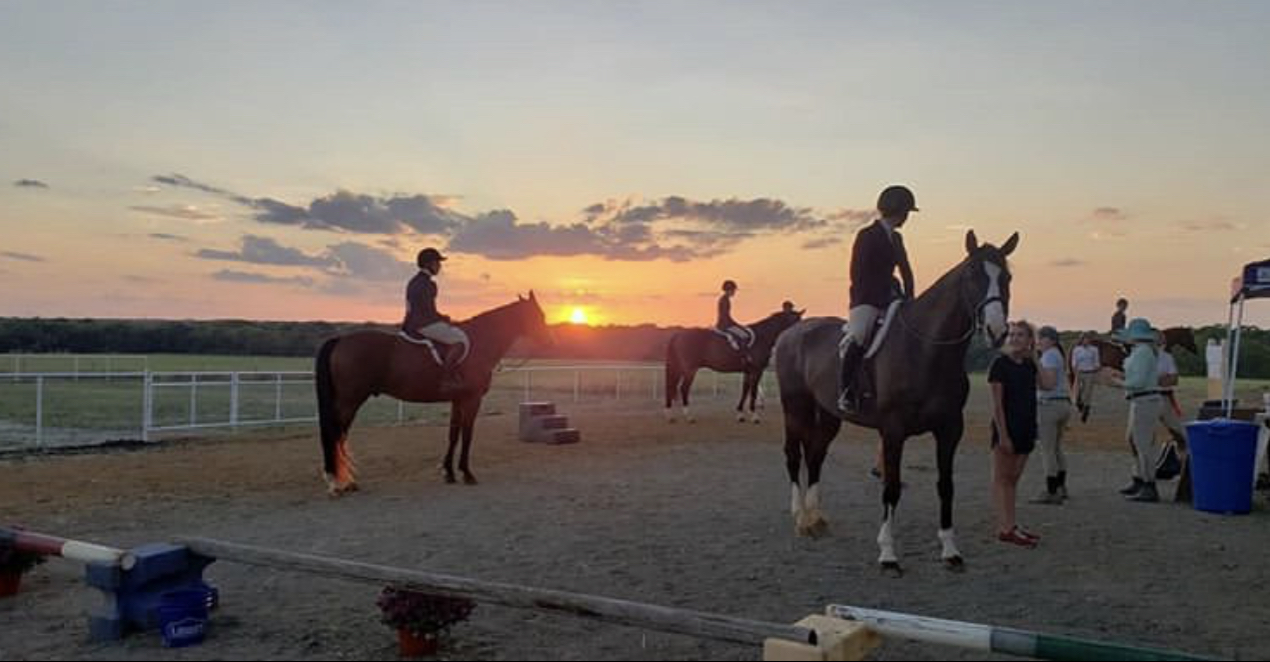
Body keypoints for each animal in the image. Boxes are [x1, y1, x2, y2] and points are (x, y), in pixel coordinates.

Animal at [313, 292, 551, 493]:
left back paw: (343, 481)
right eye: (538, 315)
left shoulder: (458, 400)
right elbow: (467, 434)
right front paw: (467, 473)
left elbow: (453, 434)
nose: (550, 341)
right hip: (349, 400)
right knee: (336, 433)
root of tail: (340, 340)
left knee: (339, 434)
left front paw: (449, 472)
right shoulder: (472, 399)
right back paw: (338, 482)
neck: (479, 342)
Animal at [665, 310, 802, 424]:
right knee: (683, 389)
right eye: (796, 322)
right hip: (689, 370)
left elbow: (745, 390)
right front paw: (755, 416)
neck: (762, 337)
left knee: (673, 388)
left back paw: (672, 416)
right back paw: (689, 417)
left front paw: (740, 415)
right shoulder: (756, 371)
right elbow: (753, 392)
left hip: (681, 369)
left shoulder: (748, 372)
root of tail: (678, 335)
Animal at [772, 231, 1021, 571]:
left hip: (829, 414)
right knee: (794, 454)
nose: (997, 331)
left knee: (815, 454)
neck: (926, 350)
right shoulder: (893, 431)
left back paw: (816, 518)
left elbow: (946, 486)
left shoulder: (950, 430)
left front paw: (950, 550)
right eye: (972, 275)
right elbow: (890, 488)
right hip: (795, 407)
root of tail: (791, 332)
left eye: (1007, 277)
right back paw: (801, 518)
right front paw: (888, 553)